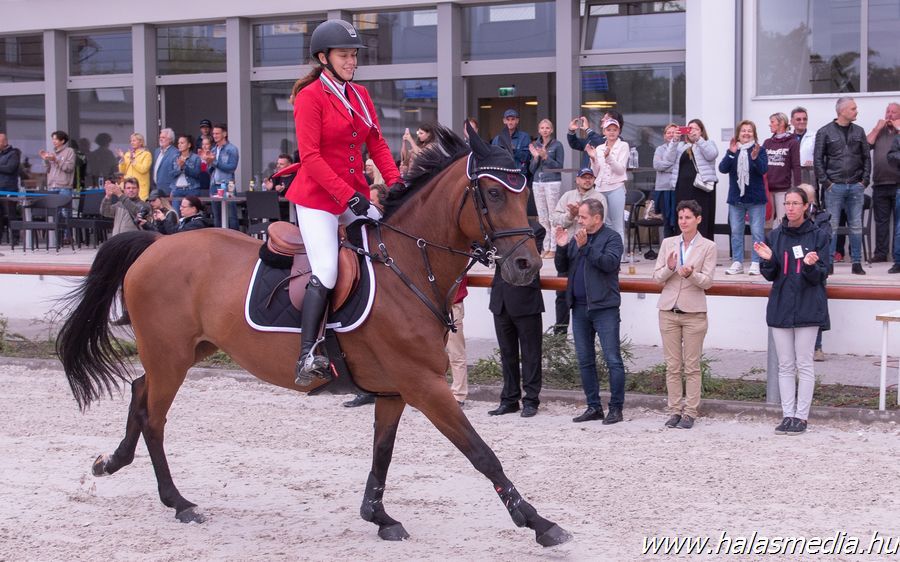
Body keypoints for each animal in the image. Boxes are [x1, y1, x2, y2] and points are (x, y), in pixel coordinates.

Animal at [56, 123, 572, 548]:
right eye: (492, 193)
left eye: (525, 191)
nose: (526, 265)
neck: (408, 265)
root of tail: (156, 243)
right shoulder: (424, 385)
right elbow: (482, 453)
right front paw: (539, 522)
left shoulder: (395, 389)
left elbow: (382, 453)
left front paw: (379, 516)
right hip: (170, 356)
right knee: (154, 416)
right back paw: (177, 501)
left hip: (185, 351)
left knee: (139, 392)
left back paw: (113, 464)